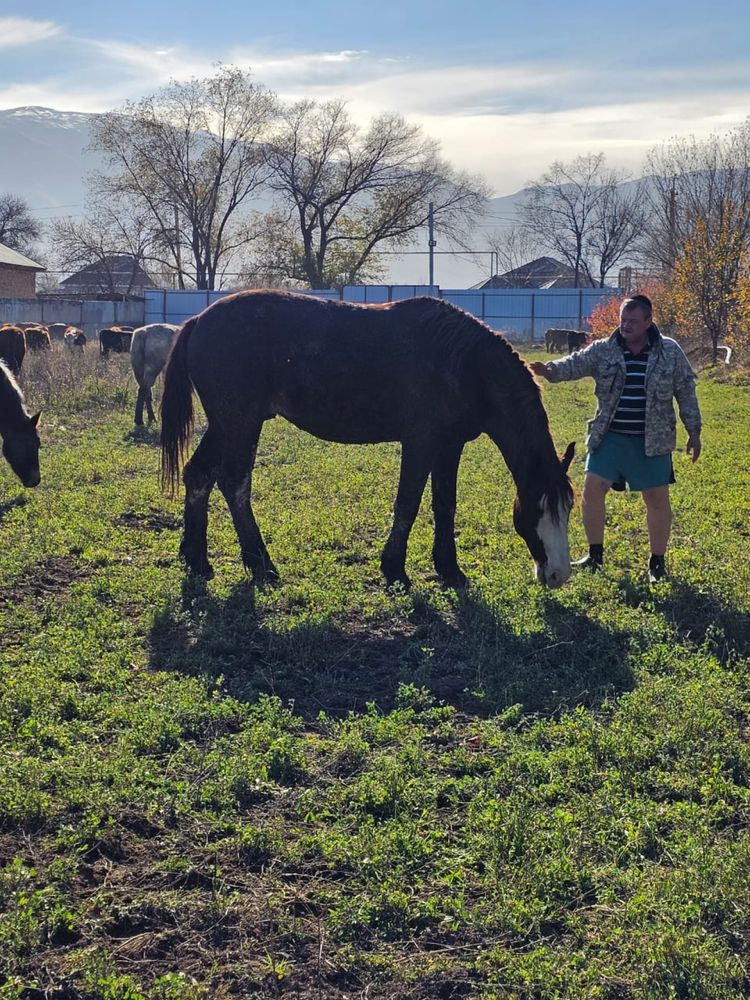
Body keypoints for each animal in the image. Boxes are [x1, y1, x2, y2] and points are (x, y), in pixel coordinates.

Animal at [163, 290, 576, 584]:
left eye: (569, 508)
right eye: (538, 508)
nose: (558, 574)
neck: (463, 364)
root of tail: (198, 320)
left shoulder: (450, 445)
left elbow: (445, 505)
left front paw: (449, 569)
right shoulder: (420, 443)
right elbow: (408, 503)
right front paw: (395, 569)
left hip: (225, 426)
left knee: (199, 476)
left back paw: (197, 560)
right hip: (241, 425)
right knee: (234, 484)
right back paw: (262, 565)